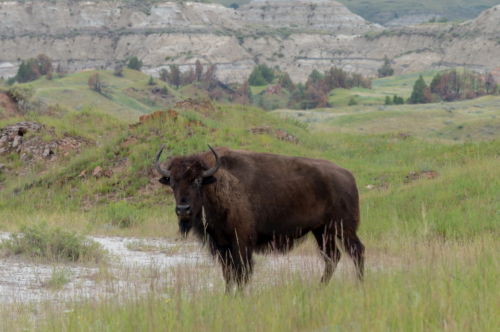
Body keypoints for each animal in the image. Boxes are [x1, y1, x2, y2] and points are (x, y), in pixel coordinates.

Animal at [154, 146, 366, 290]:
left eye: (197, 181)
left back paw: (359, 285)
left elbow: (242, 273)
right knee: (332, 257)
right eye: (172, 182)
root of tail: (348, 175)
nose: (183, 209)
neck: (215, 183)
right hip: (322, 231)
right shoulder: (222, 245)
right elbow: (228, 274)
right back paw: (319, 288)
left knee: (356, 251)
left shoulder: (242, 243)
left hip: (343, 228)